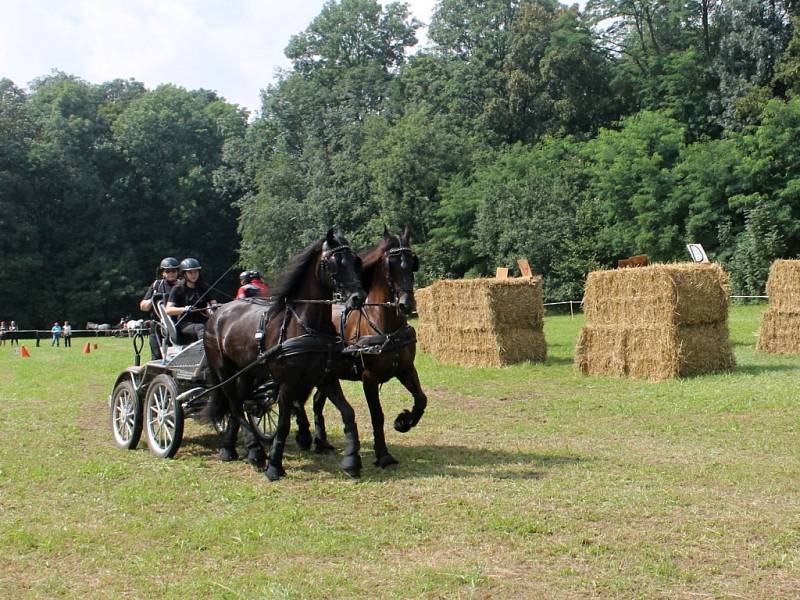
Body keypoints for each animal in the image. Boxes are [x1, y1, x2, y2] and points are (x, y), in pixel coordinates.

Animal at [200, 232, 366, 480]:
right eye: (334, 262)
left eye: (355, 261)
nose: (358, 297)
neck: (306, 325)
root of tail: (216, 314)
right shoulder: (287, 384)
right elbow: (283, 425)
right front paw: (274, 467)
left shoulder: (326, 378)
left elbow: (348, 413)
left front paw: (352, 461)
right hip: (224, 371)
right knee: (235, 406)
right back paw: (256, 452)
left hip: (248, 373)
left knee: (239, 404)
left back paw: (232, 448)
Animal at [298, 227, 428, 466]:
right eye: (390, 264)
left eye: (412, 262)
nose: (407, 304)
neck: (384, 324)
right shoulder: (369, 378)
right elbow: (377, 415)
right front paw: (383, 455)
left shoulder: (405, 369)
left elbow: (421, 399)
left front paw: (403, 421)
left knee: (316, 402)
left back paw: (322, 442)